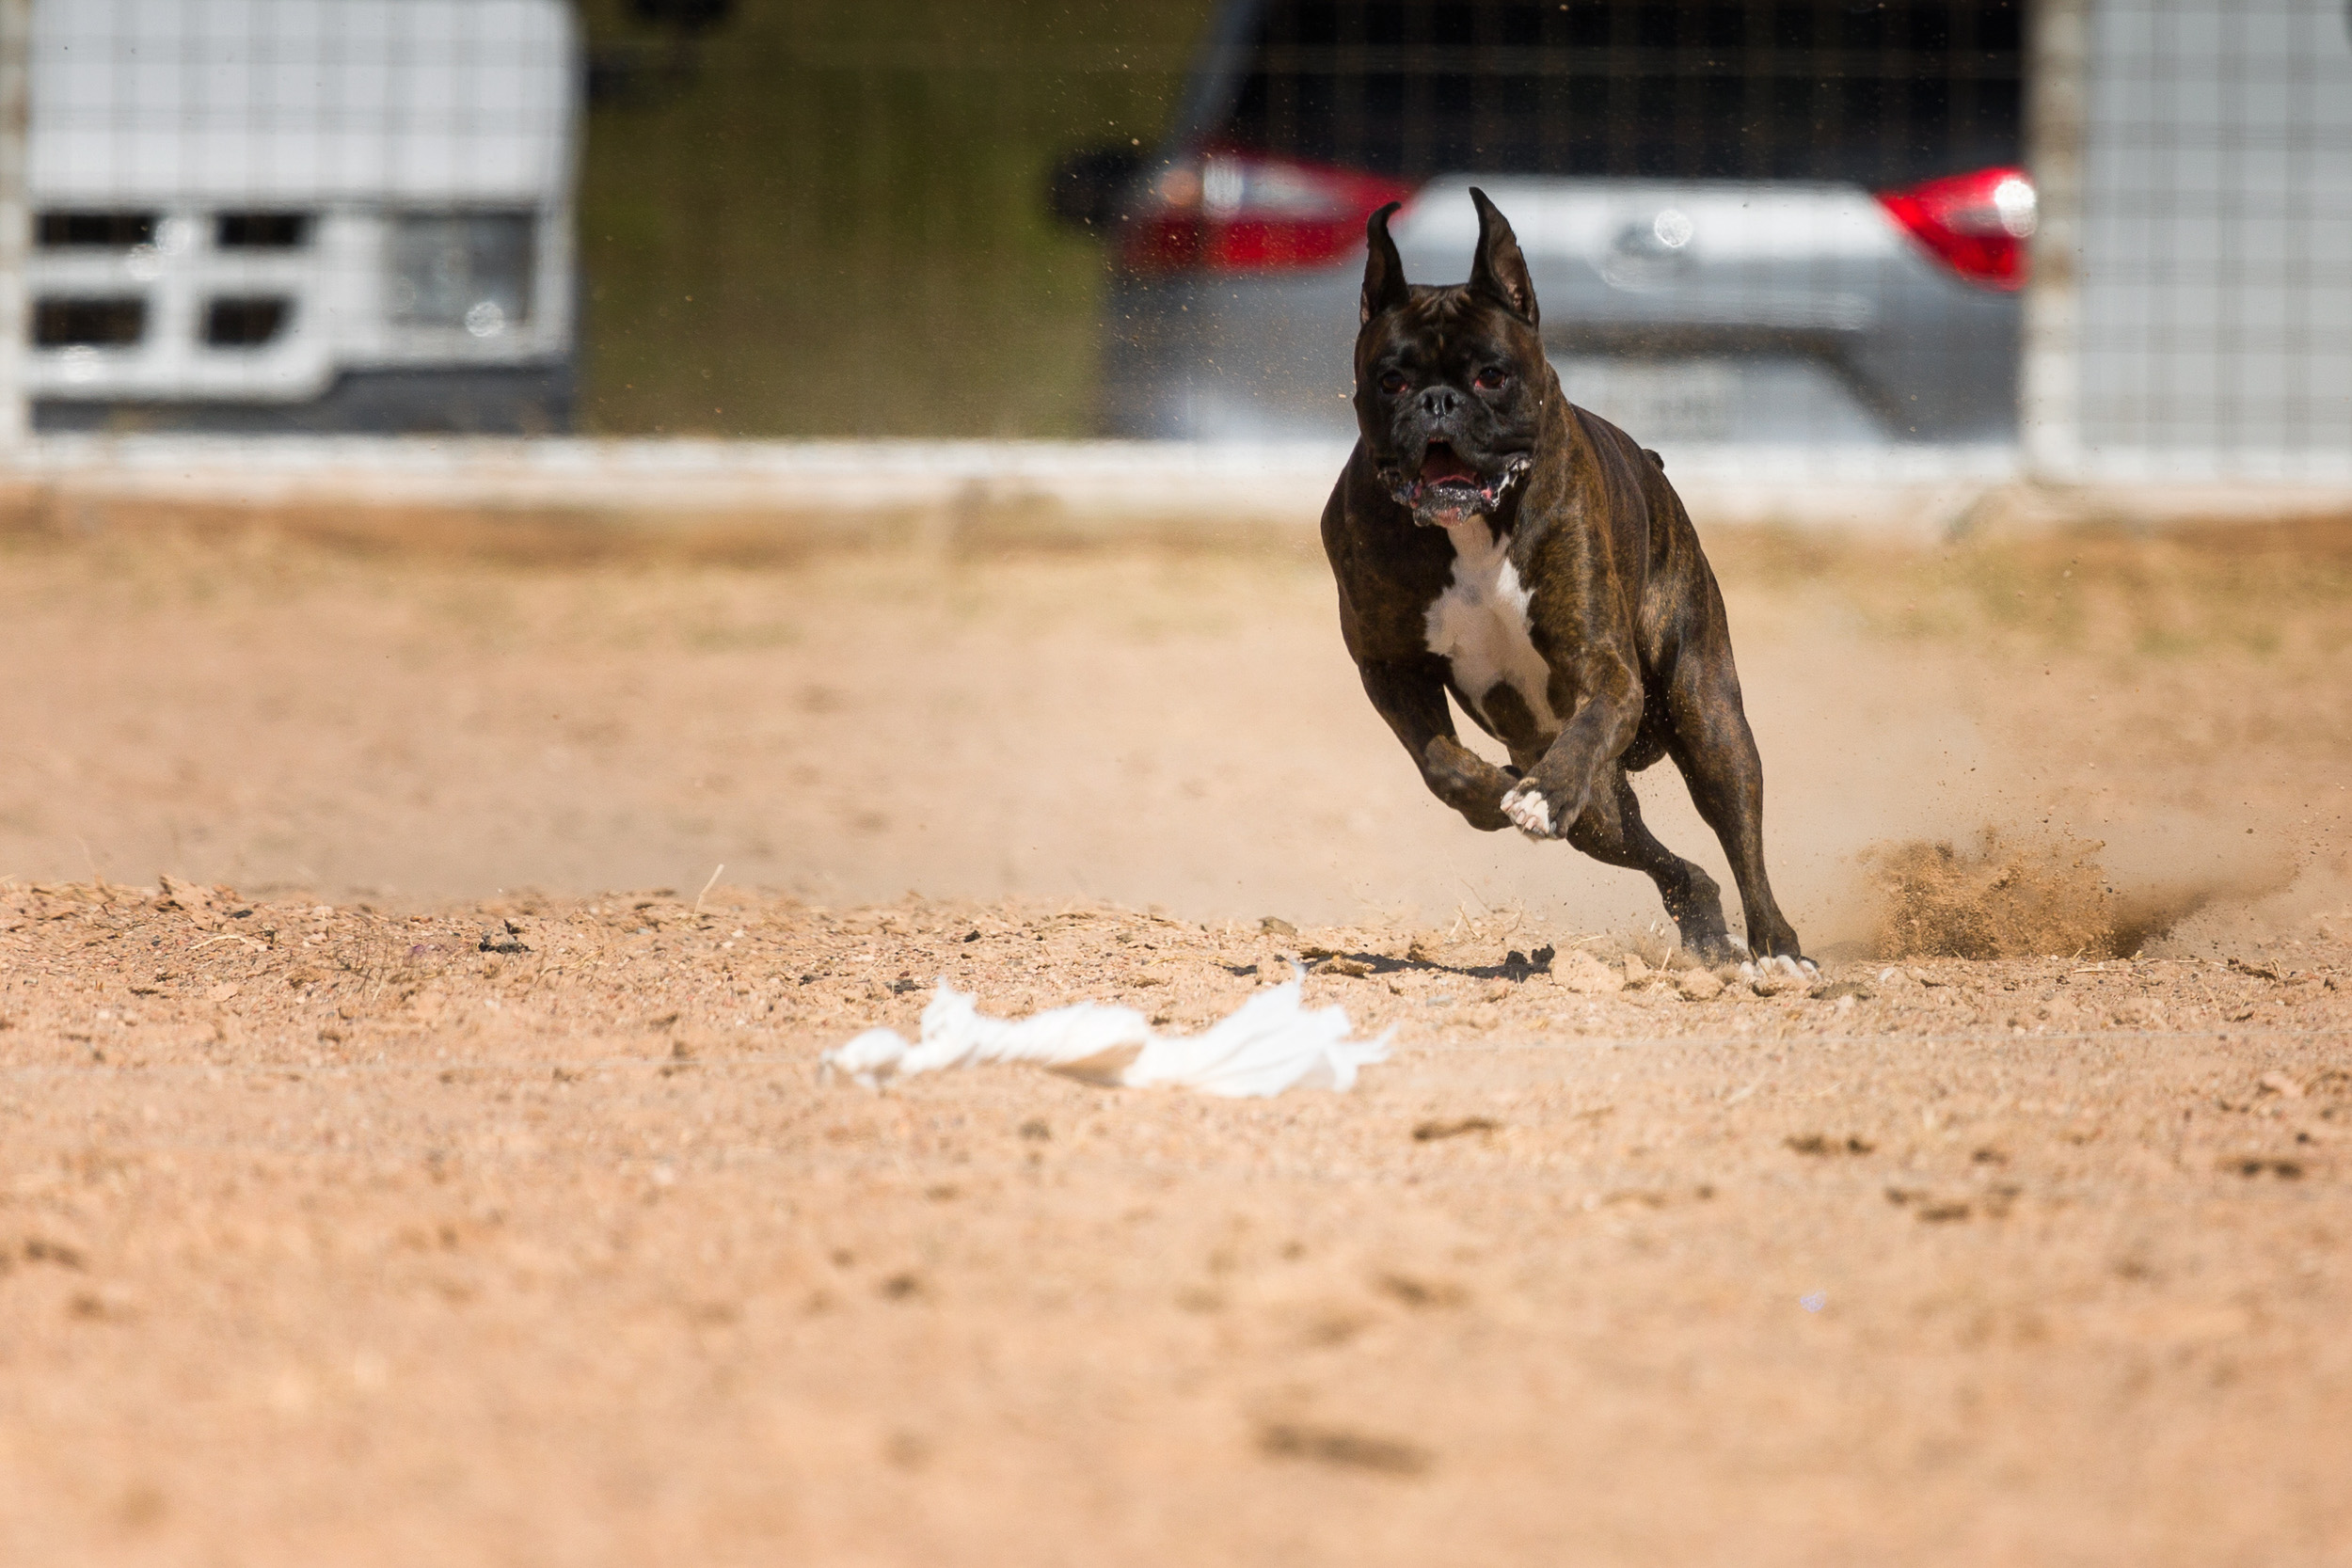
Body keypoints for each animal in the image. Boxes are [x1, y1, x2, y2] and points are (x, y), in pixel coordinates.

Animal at [1319, 188, 1804, 965]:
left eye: (1491, 374)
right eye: (1391, 379)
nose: (1437, 402)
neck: (1474, 528)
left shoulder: (1603, 666)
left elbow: (1593, 720)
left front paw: (1537, 796)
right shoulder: (1390, 667)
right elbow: (1441, 762)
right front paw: (1490, 793)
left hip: (1708, 720)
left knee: (1738, 832)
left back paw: (1778, 945)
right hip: (1600, 812)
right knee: (1674, 863)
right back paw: (1703, 926)